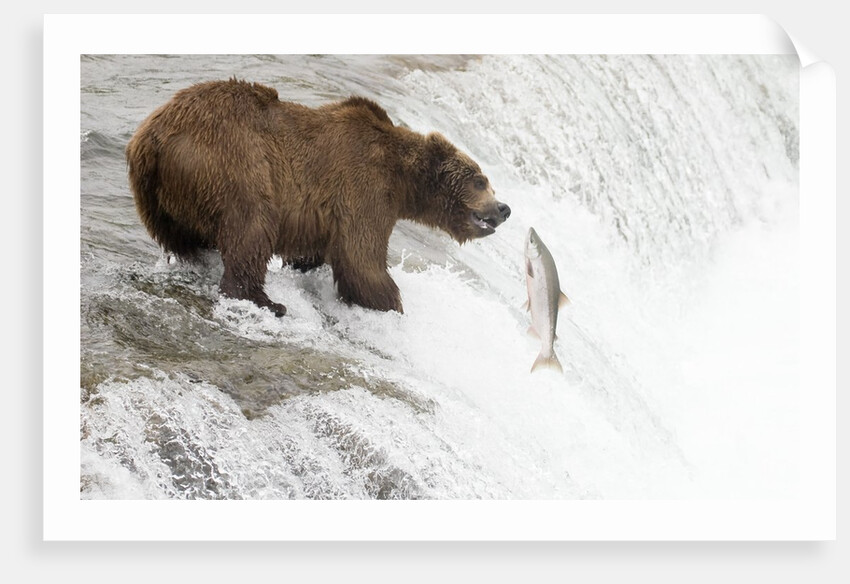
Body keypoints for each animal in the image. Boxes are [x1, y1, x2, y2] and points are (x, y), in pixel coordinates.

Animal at [126, 79, 510, 316]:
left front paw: (304, 264)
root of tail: (152, 135)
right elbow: (361, 257)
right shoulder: (364, 186)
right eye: (481, 180)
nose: (504, 208)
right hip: (234, 160)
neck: (402, 177)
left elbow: (319, 251)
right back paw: (267, 301)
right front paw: (391, 304)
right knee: (252, 227)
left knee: (184, 237)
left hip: (158, 195)